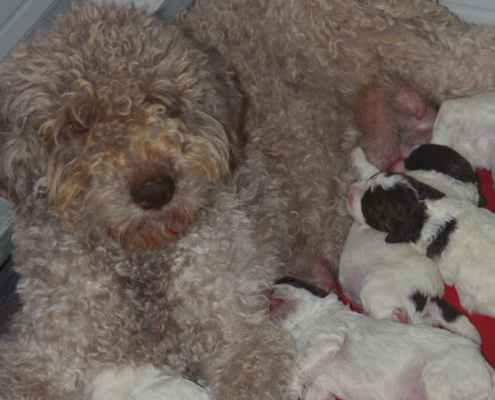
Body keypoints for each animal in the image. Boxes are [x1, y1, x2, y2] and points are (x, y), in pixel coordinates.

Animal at [272, 276, 495, 400]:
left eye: (292, 282)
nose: (269, 289)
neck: (305, 326)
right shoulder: (320, 388)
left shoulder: (328, 338)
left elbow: (297, 369)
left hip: (438, 380)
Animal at [340, 148, 480, 342]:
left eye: (370, 208)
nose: (350, 190)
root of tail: (428, 299)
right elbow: (371, 171)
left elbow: (368, 168)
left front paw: (356, 153)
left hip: (374, 284)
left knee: (382, 317)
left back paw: (399, 317)